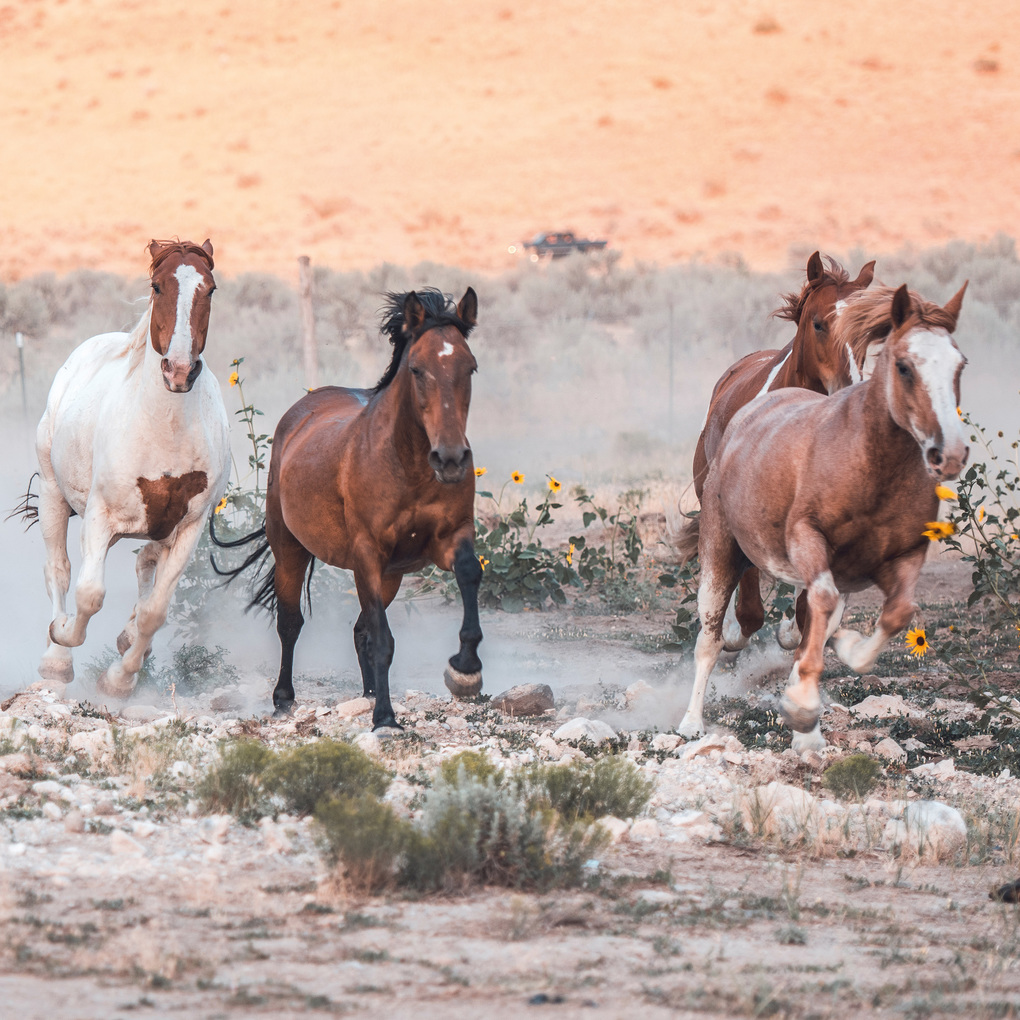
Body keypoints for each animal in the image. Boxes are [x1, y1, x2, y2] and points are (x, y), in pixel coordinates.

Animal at [30, 239, 230, 697]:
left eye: (210, 289)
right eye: (157, 286)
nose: (178, 370)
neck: (162, 430)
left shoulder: (188, 528)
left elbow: (156, 611)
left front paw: (120, 679)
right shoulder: (99, 518)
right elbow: (89, 593)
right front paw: (62, 636)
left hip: (158, 528)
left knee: (145, 567)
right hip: (52, 494)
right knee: (59, 570)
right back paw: (55, 659)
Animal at [212, 288, 482, 732]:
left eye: (470, 368)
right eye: (417, 369)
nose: (450, 459)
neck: (407, 466)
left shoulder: (447, 539)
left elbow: (468, 573)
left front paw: (465, 669)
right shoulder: (367, 554)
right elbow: (383, 639)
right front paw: (385, 719)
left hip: (390, 575)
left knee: (360, 631)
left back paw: (369, 692)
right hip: (291, 548)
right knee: (291, 624)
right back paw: (284, 699)